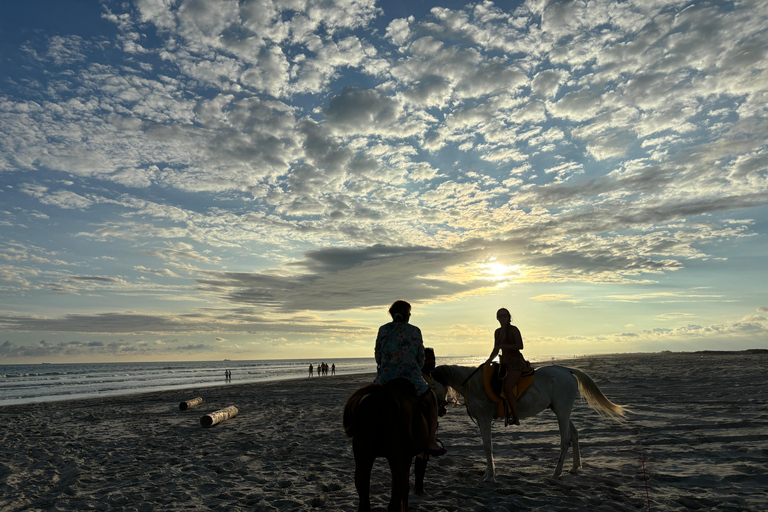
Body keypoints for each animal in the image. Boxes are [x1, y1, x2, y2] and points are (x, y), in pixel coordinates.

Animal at [344, 378, 428, 510]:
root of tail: (382, 393)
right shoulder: (407, 458)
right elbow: (406, 489)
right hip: (397, 460)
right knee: (394, 501)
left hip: (363, 458)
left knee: (364, 500)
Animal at [432, 364, 624, 480]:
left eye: (432, 385)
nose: (440, 410)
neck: (475, 385)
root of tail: (566, 370)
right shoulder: (481, 421)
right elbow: (486, 447)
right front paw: (488, 472)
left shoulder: (485, 419)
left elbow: (487, 447)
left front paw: (490, 475)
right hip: (561, 411)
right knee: (574, 436)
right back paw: (575, 467)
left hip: (562, 412)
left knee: (565, 440)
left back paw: (556, 473)